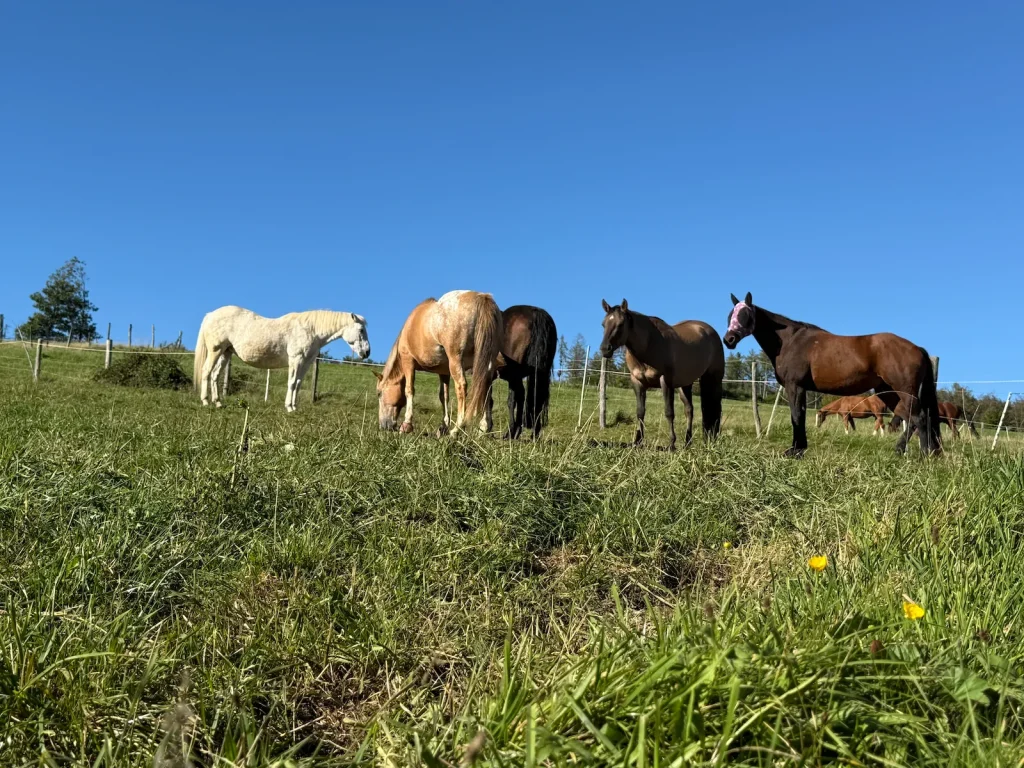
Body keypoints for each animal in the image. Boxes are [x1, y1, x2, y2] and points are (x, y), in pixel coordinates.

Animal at [194, 305, 369, 412]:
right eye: (361, 330)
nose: (367, 352)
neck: (310, 330)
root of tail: (210, 315)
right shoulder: (296, 360)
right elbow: (291, 383)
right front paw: (289, 407)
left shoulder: (306, 363)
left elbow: (298, 384)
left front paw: (295, 407)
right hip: (215, 350)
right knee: (206, 372)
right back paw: (205, 401)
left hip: (226, 352)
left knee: (215, 375)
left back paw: (218, 403)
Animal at [374, 290, 503, 436]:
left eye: (379, 393)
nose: (384, 426)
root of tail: (481, 297)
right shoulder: (444, 372)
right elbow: (444, 396)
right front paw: (443, 427)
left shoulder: (408, 362)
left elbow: (409, 390)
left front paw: (407, 425)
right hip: (486, 363)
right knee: (485, 389)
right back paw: (483, 428)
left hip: (456, 360)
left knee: (462, 387)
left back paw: (457, 428)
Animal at [498, 305, 557, 440]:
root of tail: (535, 313)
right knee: (536, 397)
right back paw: (533, 433)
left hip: (514, 374)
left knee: (517, 397)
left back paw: (512, 432)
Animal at [599, 299, 724, 451]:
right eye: (603, 324)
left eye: (621, 324)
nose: (605, 349)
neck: (649, 344)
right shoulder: (637, 382)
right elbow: (640, 412)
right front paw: (637, 441)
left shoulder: (665, 381)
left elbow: (669, 412)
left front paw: (672, 443)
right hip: (685, 384)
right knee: (689, 410)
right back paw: (688, 442)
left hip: (714, 378)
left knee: (714, 408)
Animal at [723, 292, 941, 457]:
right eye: (730, 315)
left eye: (745, 315)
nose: (729, 339)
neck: (790, 341)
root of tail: (917, 348)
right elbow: (800, 416)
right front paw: (799, 449)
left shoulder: (795, 387)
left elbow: (796, 416)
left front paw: (795, 451)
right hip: (889, 393)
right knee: (911, 420)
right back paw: (901, 451)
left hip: (904, 391)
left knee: (920, 419)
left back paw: (924, 456)